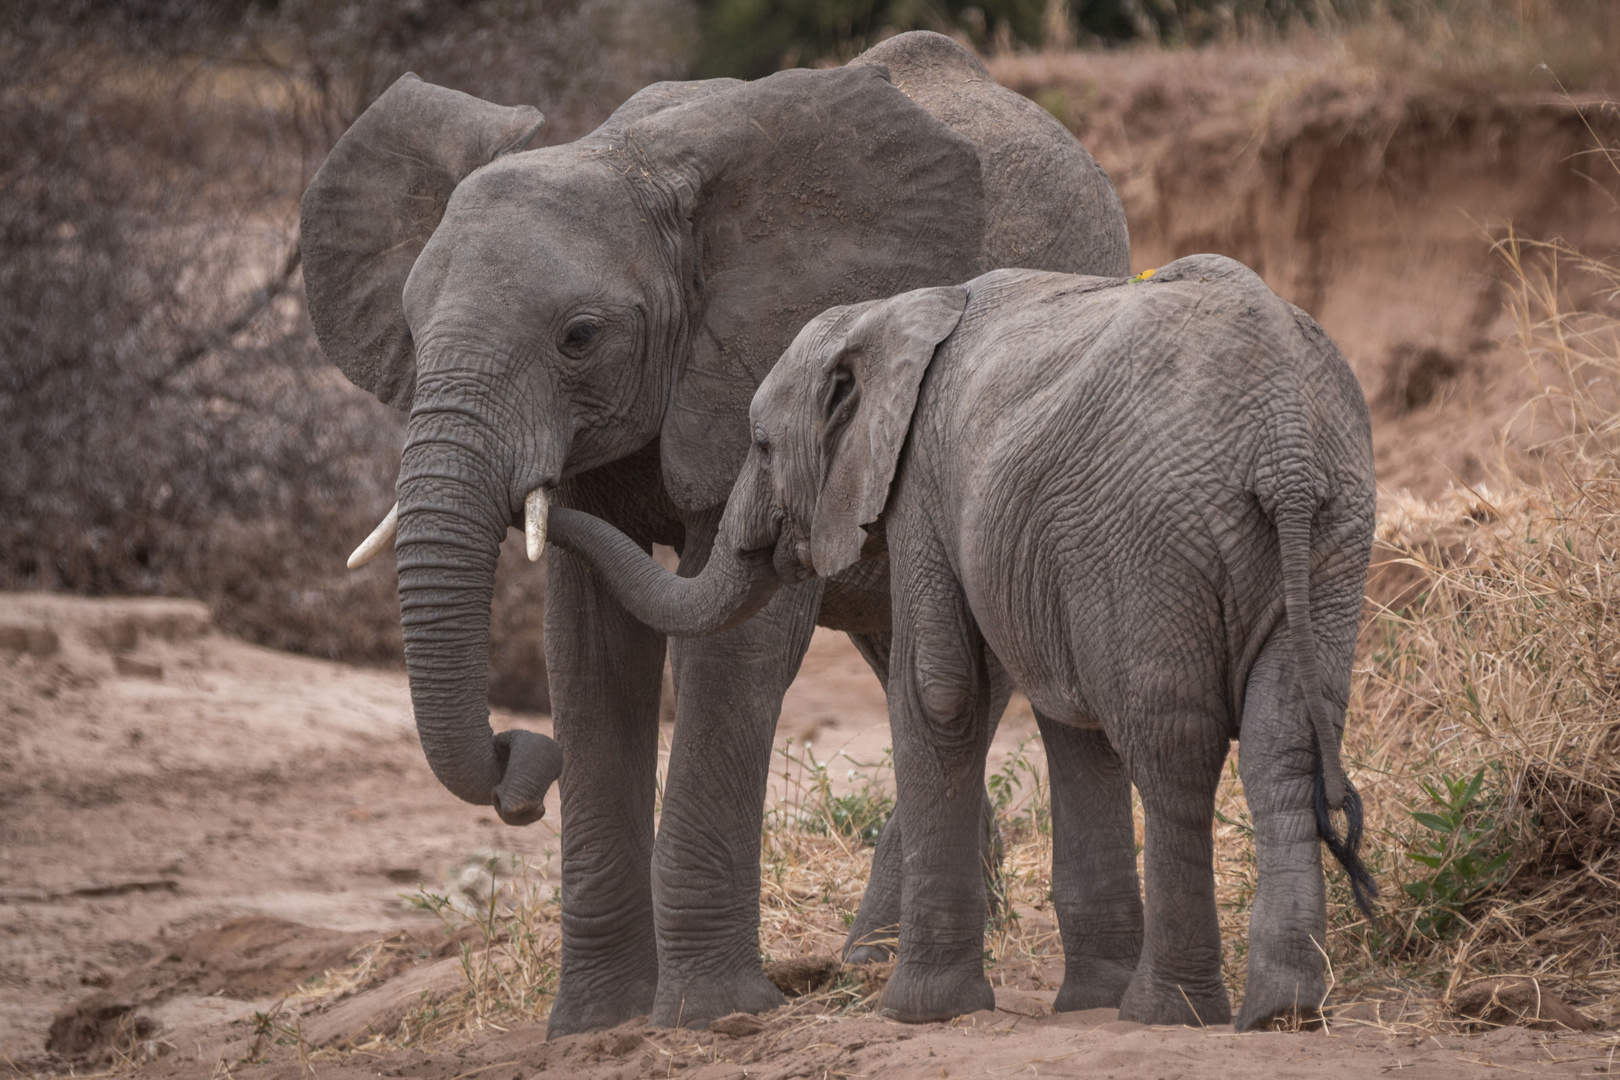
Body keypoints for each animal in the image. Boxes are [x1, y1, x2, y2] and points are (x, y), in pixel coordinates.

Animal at [304, 29, 1134, 1036]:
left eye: (579, 337)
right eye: (413, 333)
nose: (517, 759)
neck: (619, 156)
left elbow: (736, 644)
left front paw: (710, 1016)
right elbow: (588, 653)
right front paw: (595, 1024)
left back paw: (882, 962)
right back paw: (874, 956)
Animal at [550, 254, 1373, 1029]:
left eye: (759, 444)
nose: (546, 509)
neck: (895, 312)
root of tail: (1286, 447)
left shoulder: (921, 482)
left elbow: (940, 689)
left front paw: (921, 1011)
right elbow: (1067, 710)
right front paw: (1087, 1000)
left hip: (1154, 541)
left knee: (1175, 753)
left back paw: (1167, 1011)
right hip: (1330, 536)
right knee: (1281, 746)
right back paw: (1283, 1011)